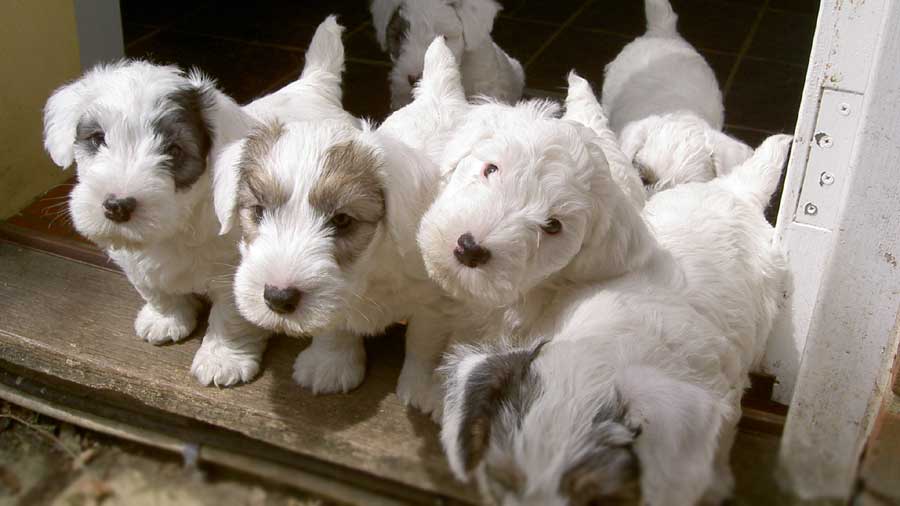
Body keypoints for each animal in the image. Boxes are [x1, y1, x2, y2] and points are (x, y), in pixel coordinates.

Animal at [44, 15, 356, 388]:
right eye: (97, 138)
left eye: (174, 150)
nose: (117, 205)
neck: (178, 223)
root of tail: (313, 85)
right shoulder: (132, 260)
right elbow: (153, 289)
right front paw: (166, 318)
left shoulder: (238, 273)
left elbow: (230, 318)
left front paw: (223, 359)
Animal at [214, 37, 468, 414]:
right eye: (258, 211)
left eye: (343, 220)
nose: (277, 298)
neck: (372, 265)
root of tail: (441, 94)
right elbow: (334, 324)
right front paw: (330, 363)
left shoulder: (435, 299)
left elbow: (426, 343)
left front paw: (424, 388)